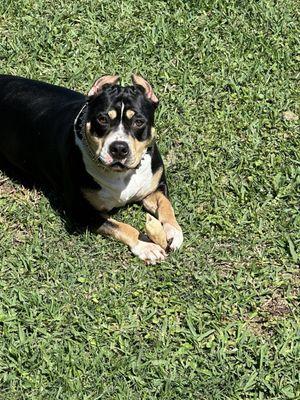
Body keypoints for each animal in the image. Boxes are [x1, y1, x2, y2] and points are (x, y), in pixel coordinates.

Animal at [0, 74, 183, 266]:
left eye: (139, 122)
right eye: (102, 119)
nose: (119, 148)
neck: (121, 174)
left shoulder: (155, 187)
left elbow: (165, 205)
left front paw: (173, 230)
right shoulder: (82, 210)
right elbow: (121, 226)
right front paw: (145, 245)